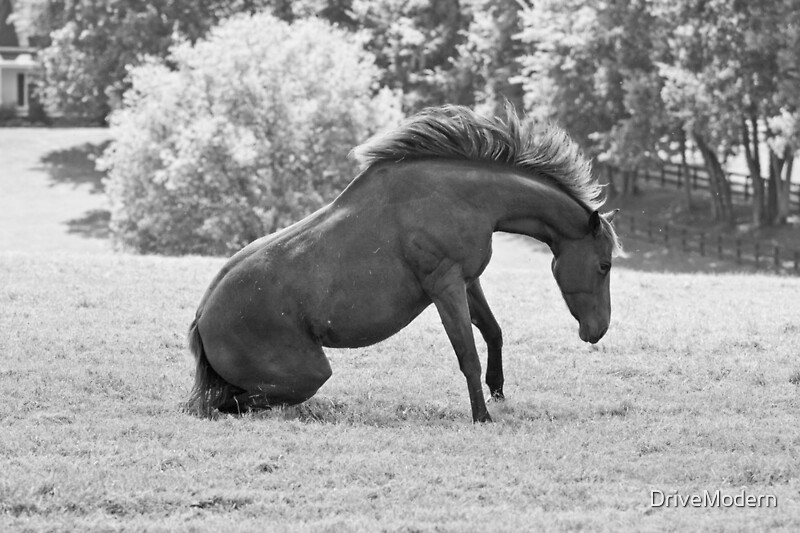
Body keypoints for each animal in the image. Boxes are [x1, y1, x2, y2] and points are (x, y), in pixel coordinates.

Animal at [183, 104, 622, 423]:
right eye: (604, 266)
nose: (598, 331)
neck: (463, 196)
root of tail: (203, 320)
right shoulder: (444, 285)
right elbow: (467, 353)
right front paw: (481, 416)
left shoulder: (467, 280)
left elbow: (493, 333)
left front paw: (497, 392)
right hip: (309, 373)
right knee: (227, 404)